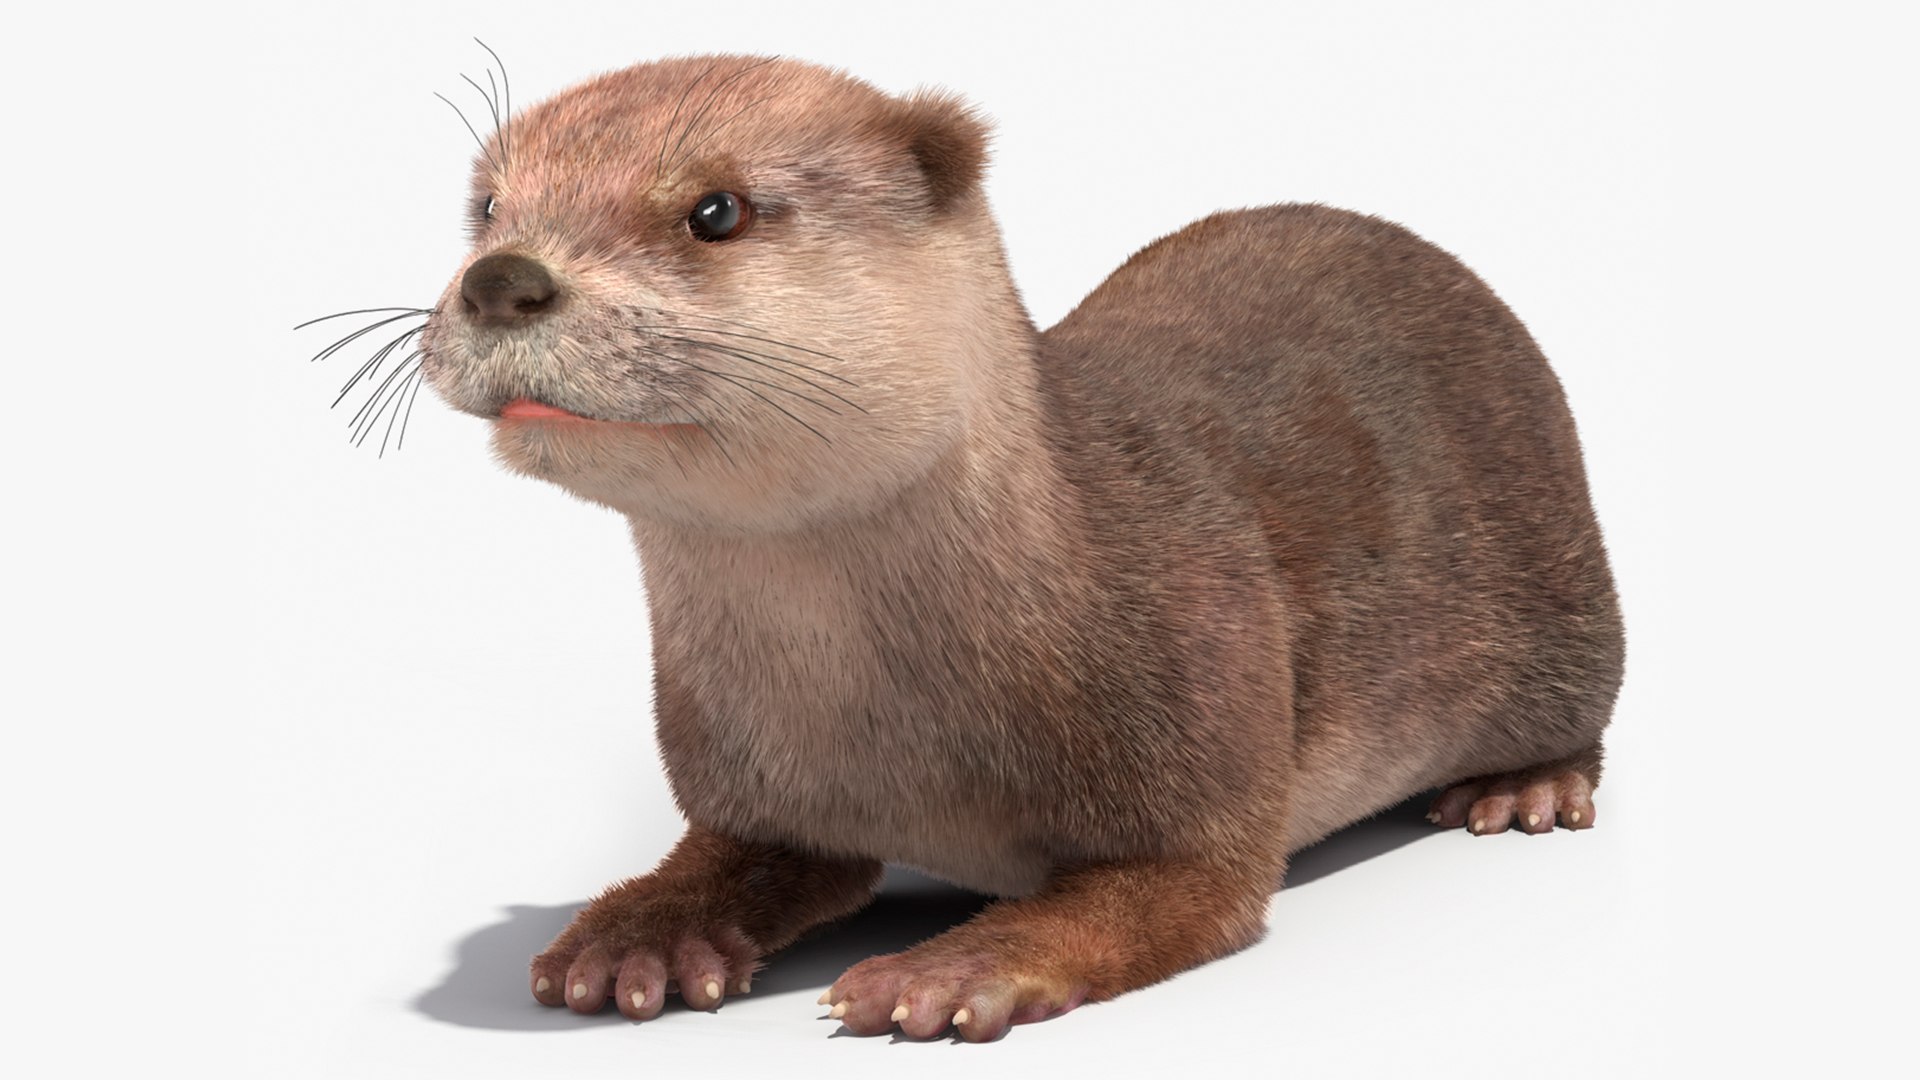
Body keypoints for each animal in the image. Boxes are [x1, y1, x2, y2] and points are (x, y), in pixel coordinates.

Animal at [392, 55, 1621, 1041]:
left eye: (716, 209)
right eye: (487, 204)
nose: (502, 277)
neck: (890, 724)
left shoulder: (1203, 678)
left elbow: (1193, 881)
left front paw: (955, 971)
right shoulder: (743, 771)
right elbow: (747, 851)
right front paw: (636, 934)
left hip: (1561, 596)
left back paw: (1526, 787)